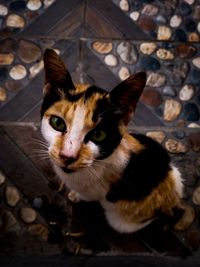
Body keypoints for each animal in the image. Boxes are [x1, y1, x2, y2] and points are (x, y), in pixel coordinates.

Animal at [40, 50, 183, 234]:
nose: (67, 156)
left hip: (122, 220)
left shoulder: (95, 192)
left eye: (98, 135)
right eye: (57, 123)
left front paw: (74, 195)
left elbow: (85, 195)